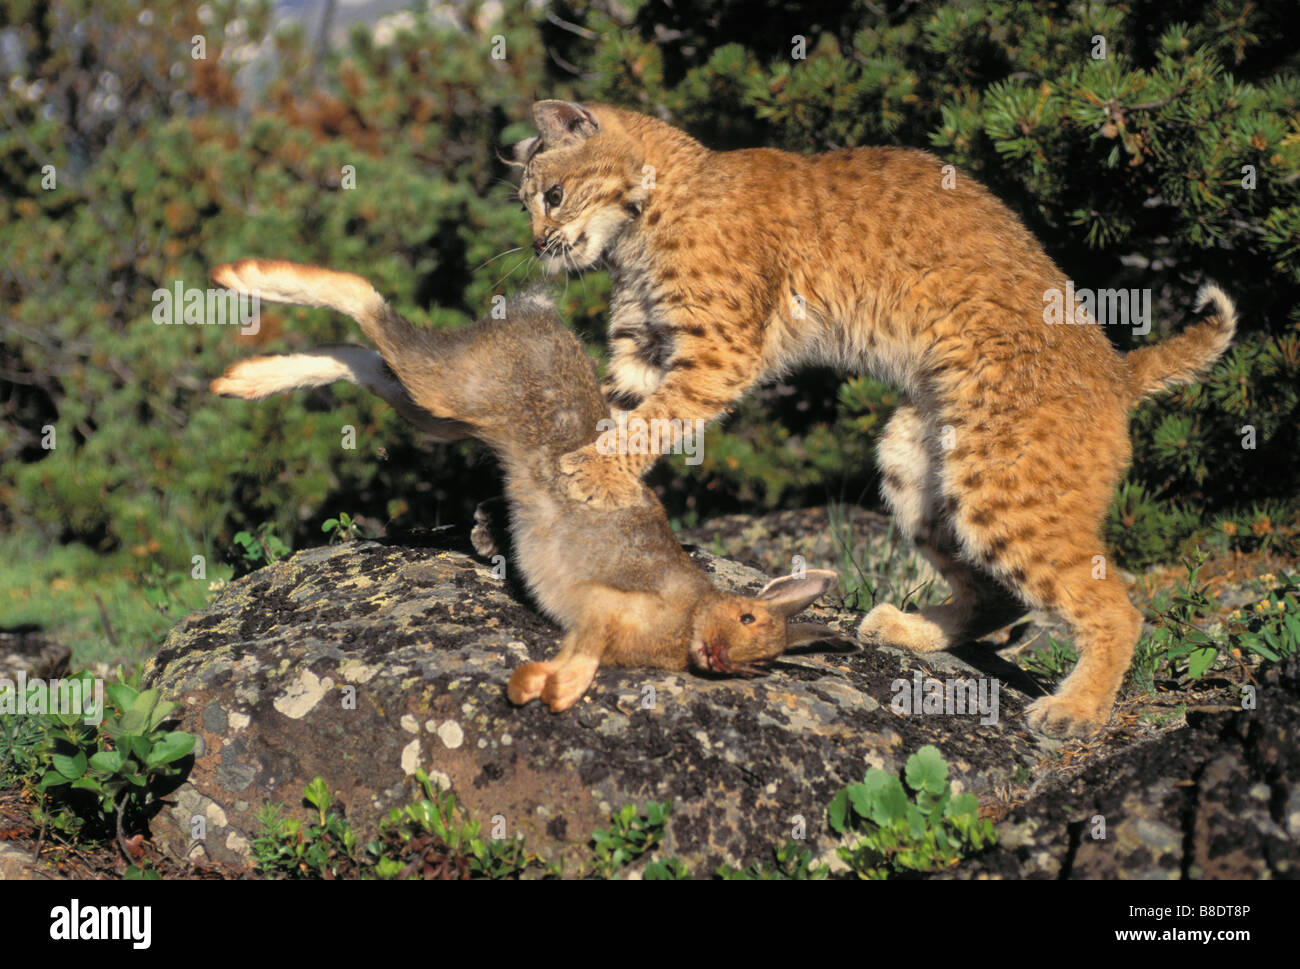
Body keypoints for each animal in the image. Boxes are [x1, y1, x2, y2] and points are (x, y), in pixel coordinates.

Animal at [208, 259, 841, 711]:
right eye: (748, 619)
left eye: (762, 663)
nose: (722, 660)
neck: (690, 618)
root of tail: (539, 317)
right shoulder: (605, 609)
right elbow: (586, 651)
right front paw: (543, 690)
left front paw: (537, 685)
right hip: (451, 388)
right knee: (368, 304)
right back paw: (241, 280)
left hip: (440, 413)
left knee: (361, 358)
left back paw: (242, 380)